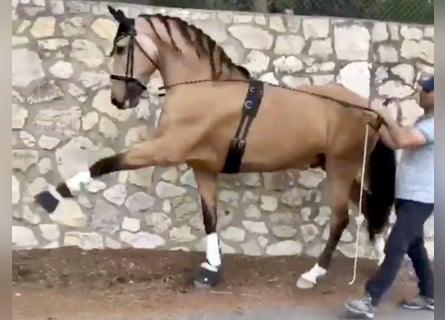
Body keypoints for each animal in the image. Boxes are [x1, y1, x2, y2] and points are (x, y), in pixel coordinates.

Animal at [35, 5, 396, 290]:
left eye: (122, 47)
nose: (118, 99)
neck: (203, 87)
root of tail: (368, 109)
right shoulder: (203, 167)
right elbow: (210, 218)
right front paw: (210, 269)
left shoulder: (165, 148)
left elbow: (105, 163)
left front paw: (50, 197)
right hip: (342, 169)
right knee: (369, 207)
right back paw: (382, 263)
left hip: (339, 169)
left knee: (341, 219)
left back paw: (313, 274)